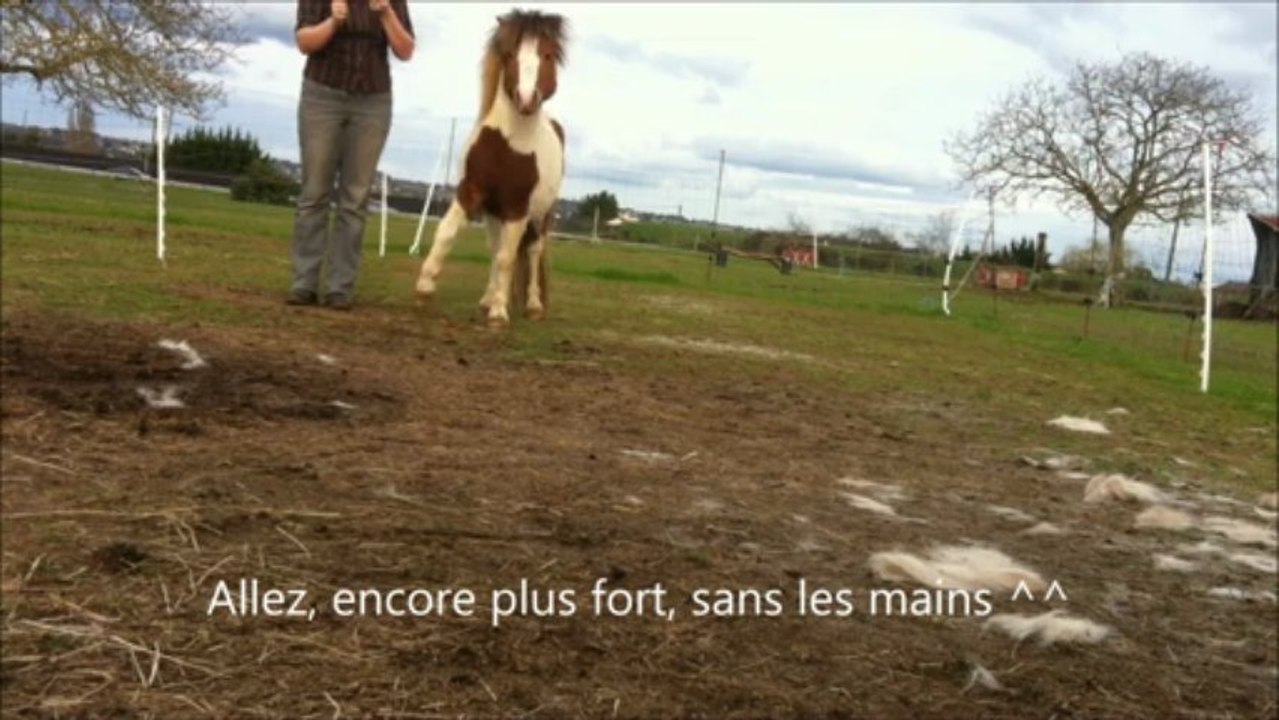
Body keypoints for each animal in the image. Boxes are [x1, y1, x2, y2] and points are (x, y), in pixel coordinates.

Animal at [414, 9, 568, 327]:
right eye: (510, 54)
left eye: (547, 55)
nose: (526, 99)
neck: (507, 146)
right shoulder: (470, 191)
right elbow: (446, 233)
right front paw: (424, 288)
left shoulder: (518, 208)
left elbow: (509, 258)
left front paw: (499, 313)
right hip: (494, 214)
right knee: (496, 248)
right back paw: (487, 299)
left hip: (540, 215)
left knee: (532, 251)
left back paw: (532, 306)